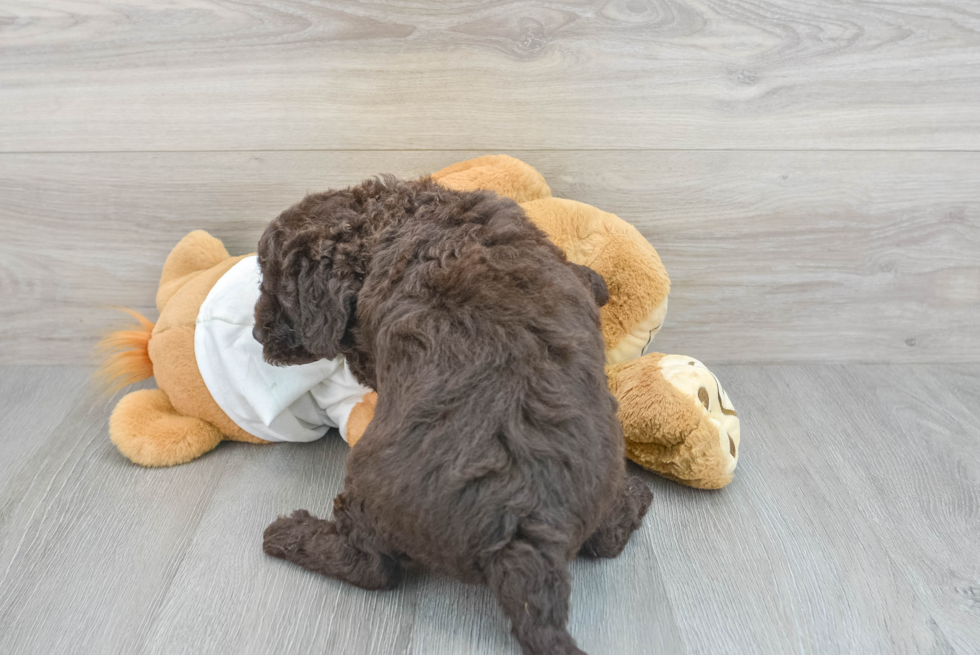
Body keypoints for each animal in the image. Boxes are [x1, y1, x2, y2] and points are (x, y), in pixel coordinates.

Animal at [255, 176, 652, 655]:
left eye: (274, 286)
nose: (256, 333)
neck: (395, 221)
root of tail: (524, 539)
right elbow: (584, 276)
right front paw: (597, 282)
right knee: (607, 540)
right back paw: (637, 497)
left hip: (368, 493)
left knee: (370, 567)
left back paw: (288, 534)